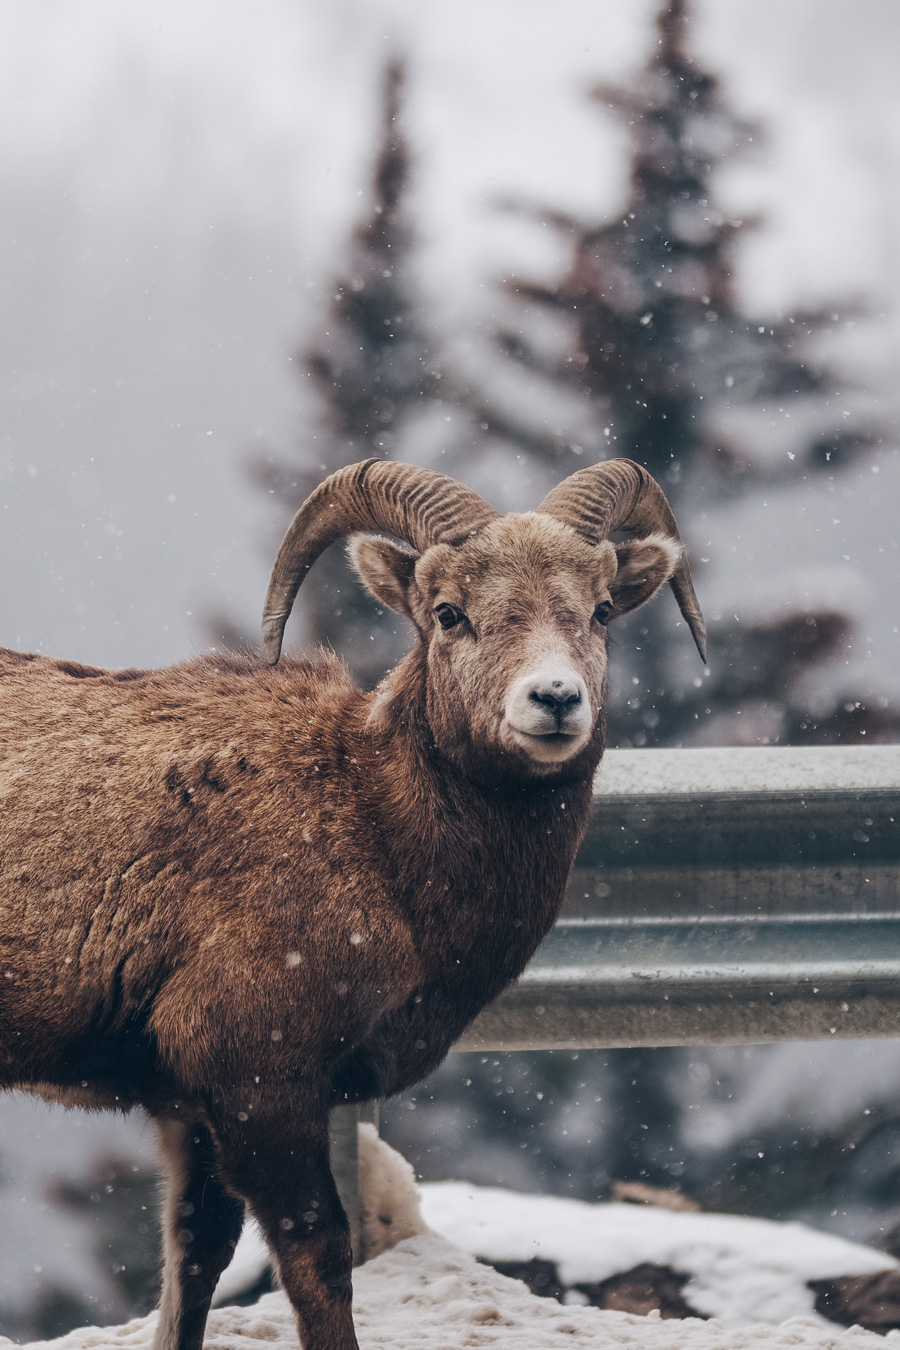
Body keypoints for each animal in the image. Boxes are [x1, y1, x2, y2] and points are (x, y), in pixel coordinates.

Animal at [0, 458, 705, 1350]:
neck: (369, 822)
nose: (553, 700)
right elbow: (317, 1261)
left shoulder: (193, 1109)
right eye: (448, 613)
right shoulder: (260, 1080)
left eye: (603, 607)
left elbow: (195, 1259)